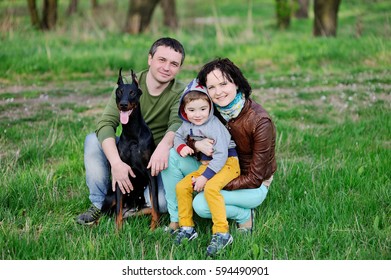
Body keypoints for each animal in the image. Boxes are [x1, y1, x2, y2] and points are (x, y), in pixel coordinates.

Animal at [104, 68, 161, 230]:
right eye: (119, 92)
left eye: (132, 93)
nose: (123, 104)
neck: (132, 134)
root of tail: (131, 209)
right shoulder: (120, 176)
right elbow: (118, 210)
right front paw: (118, 232)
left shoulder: (151, 172)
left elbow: (155, 206)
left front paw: (154, 228)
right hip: (110, 196)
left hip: (141, 206)